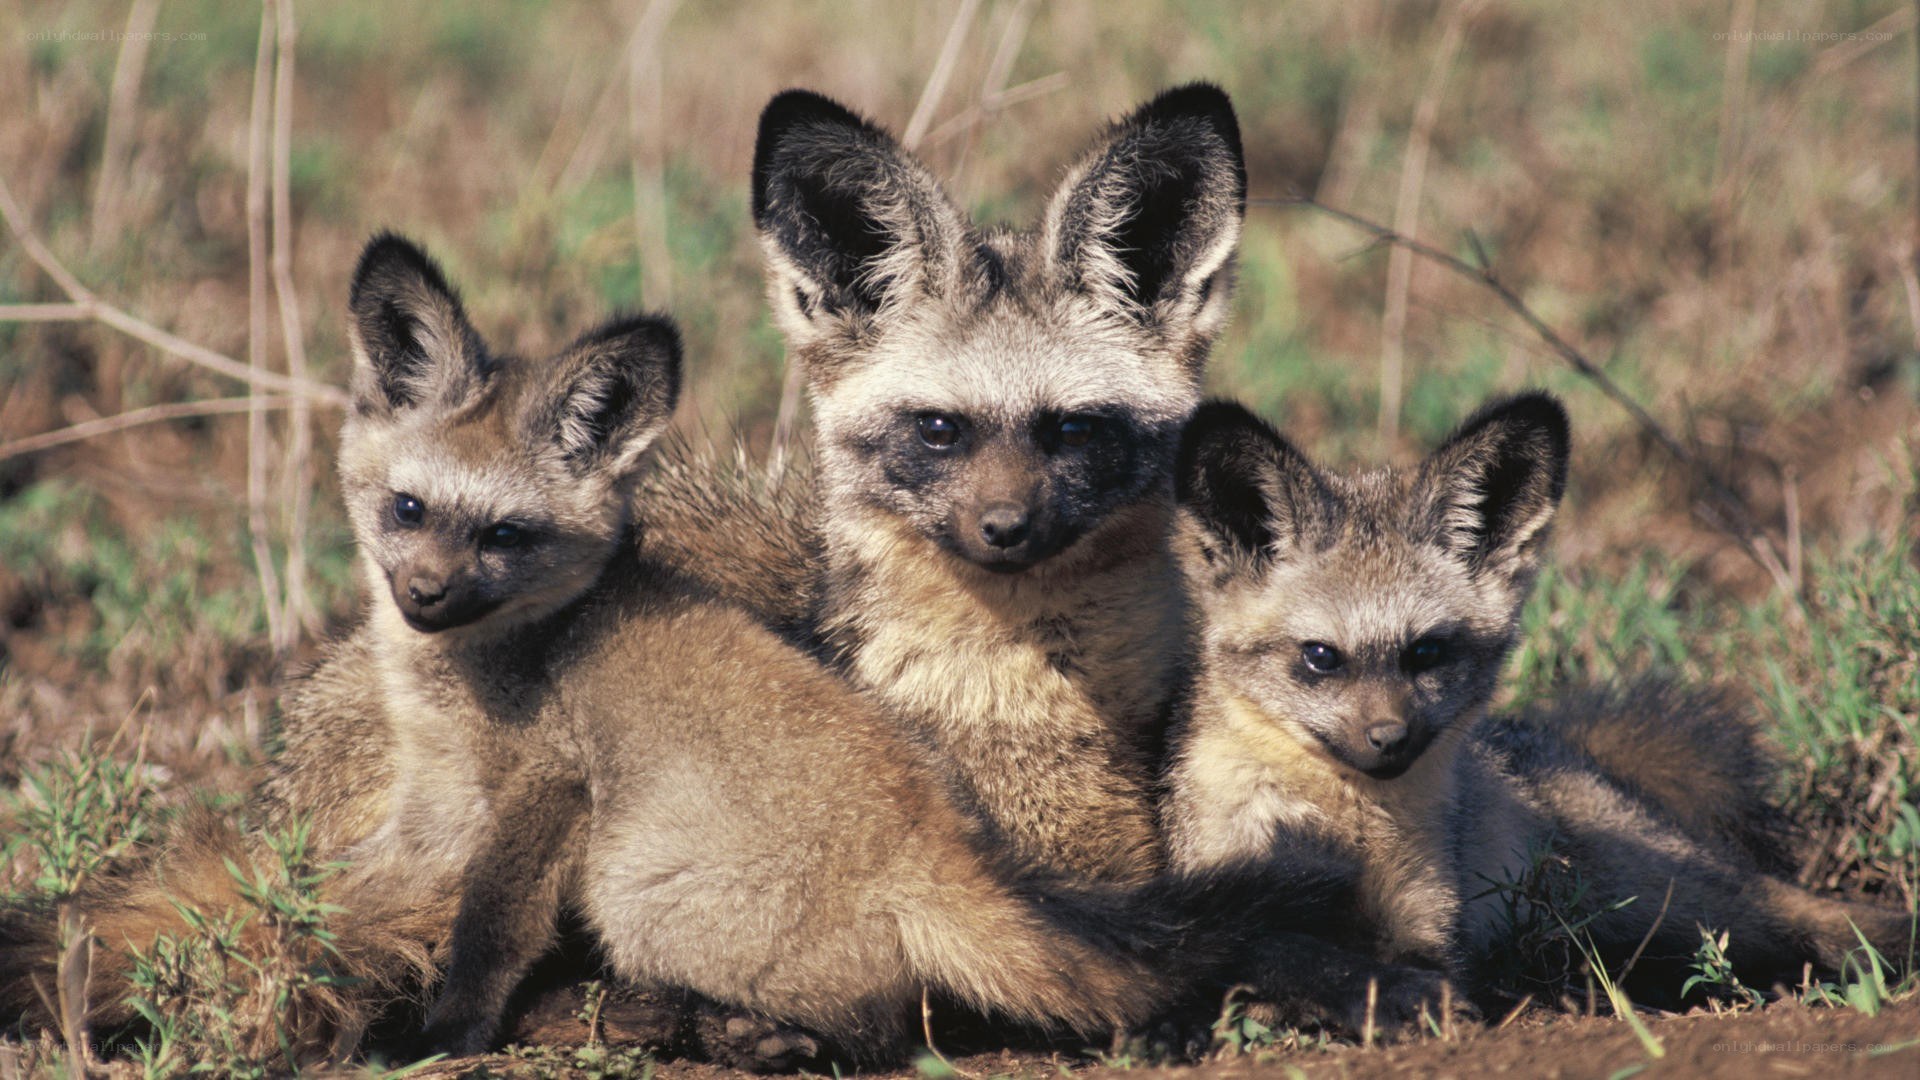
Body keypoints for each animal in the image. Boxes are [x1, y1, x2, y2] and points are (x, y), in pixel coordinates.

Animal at [1162, 392, 1915, 1003]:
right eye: (1321, 657)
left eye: (1426, 652)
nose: (1390, 740)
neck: (1350, 828)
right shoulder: (1225, 896)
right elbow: (1278, 952)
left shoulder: (1428, 924)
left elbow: (1387, 961)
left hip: (1661, 894)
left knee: (1794, 910)